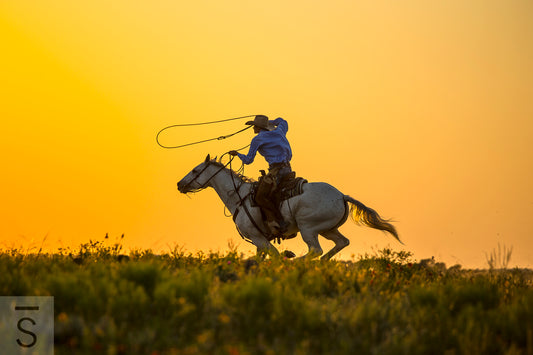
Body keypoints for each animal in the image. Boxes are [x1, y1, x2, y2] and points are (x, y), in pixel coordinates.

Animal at [177, 154, 402, 260]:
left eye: (195, 170)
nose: (180, 184)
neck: (239, 197)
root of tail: (341, 196)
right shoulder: (259, 240)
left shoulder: (259, 238)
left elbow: (274, 257)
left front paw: (285, 258)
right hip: (328, 229)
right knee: (341, 243)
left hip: (308, 228)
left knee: (315, 250)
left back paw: (296, 259)